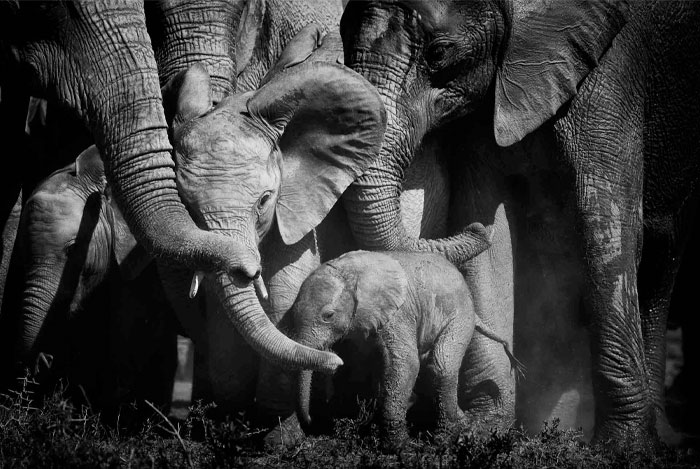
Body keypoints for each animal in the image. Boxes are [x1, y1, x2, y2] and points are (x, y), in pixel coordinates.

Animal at [290, 250, 522, 449]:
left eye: (328, 315)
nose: (310, 421)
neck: (351, 272)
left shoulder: (398, 313)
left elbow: (405, 363)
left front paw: (396, 447)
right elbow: (370, 367)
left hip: (460, 315)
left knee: (441, 365)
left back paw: (445, 440)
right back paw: (462, 426)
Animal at [338, 0, 700, 449]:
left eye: (438, 53)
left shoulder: (612, 76)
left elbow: (606, 223)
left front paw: (622, 448)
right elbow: (488, 231)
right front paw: (482, 431)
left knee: (661, 260)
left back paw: (661, 440)